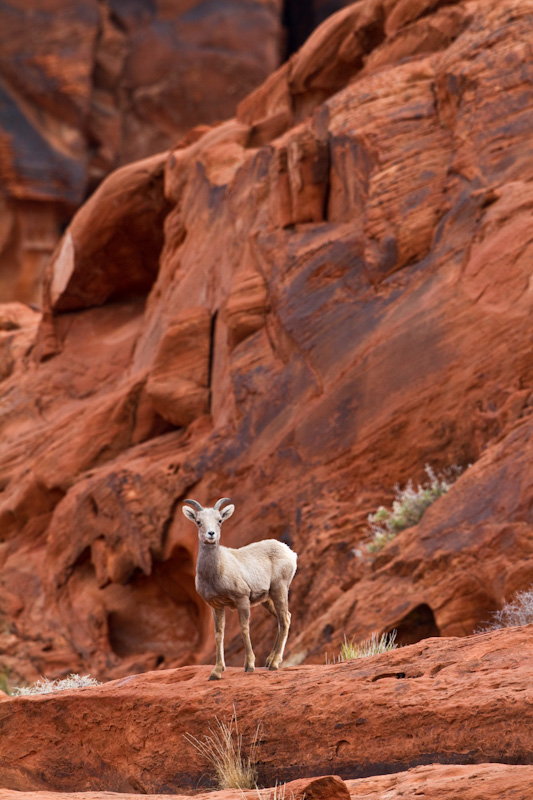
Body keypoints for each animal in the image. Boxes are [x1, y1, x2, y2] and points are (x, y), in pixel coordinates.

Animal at [183, 496, 298, 680]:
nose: (211, 534)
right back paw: (269, 661)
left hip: (279, 590)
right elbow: (219, 635)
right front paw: (216, 672)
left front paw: (249, 665)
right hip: (267, 600)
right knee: (284, 618)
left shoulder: (242, 599)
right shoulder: (216, 606)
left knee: (284, 619)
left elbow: (244, 629)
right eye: (199, 522)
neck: (217, 571)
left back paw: (274, 664)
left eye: (219, 520)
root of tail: (290, 553)